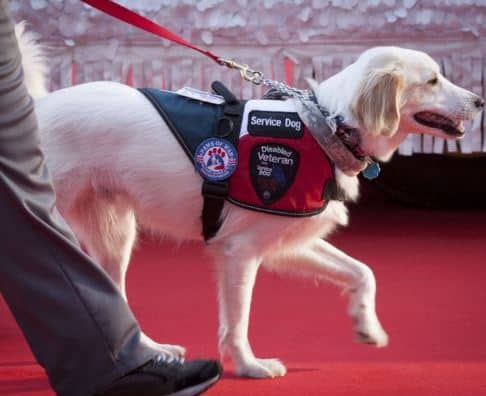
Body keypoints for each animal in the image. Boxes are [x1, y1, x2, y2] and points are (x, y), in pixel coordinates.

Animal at [18, 26, 482, 378]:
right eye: (432, 80)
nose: (480, 101)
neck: (326, 126)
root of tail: (37, 108)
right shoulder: (239, 252)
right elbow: (238, 321)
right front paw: (248, 365)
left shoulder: (284, 241)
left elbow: (362, 272)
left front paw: (367, 325)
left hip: (113, 236)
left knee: (114, 297)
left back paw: (154, 351)